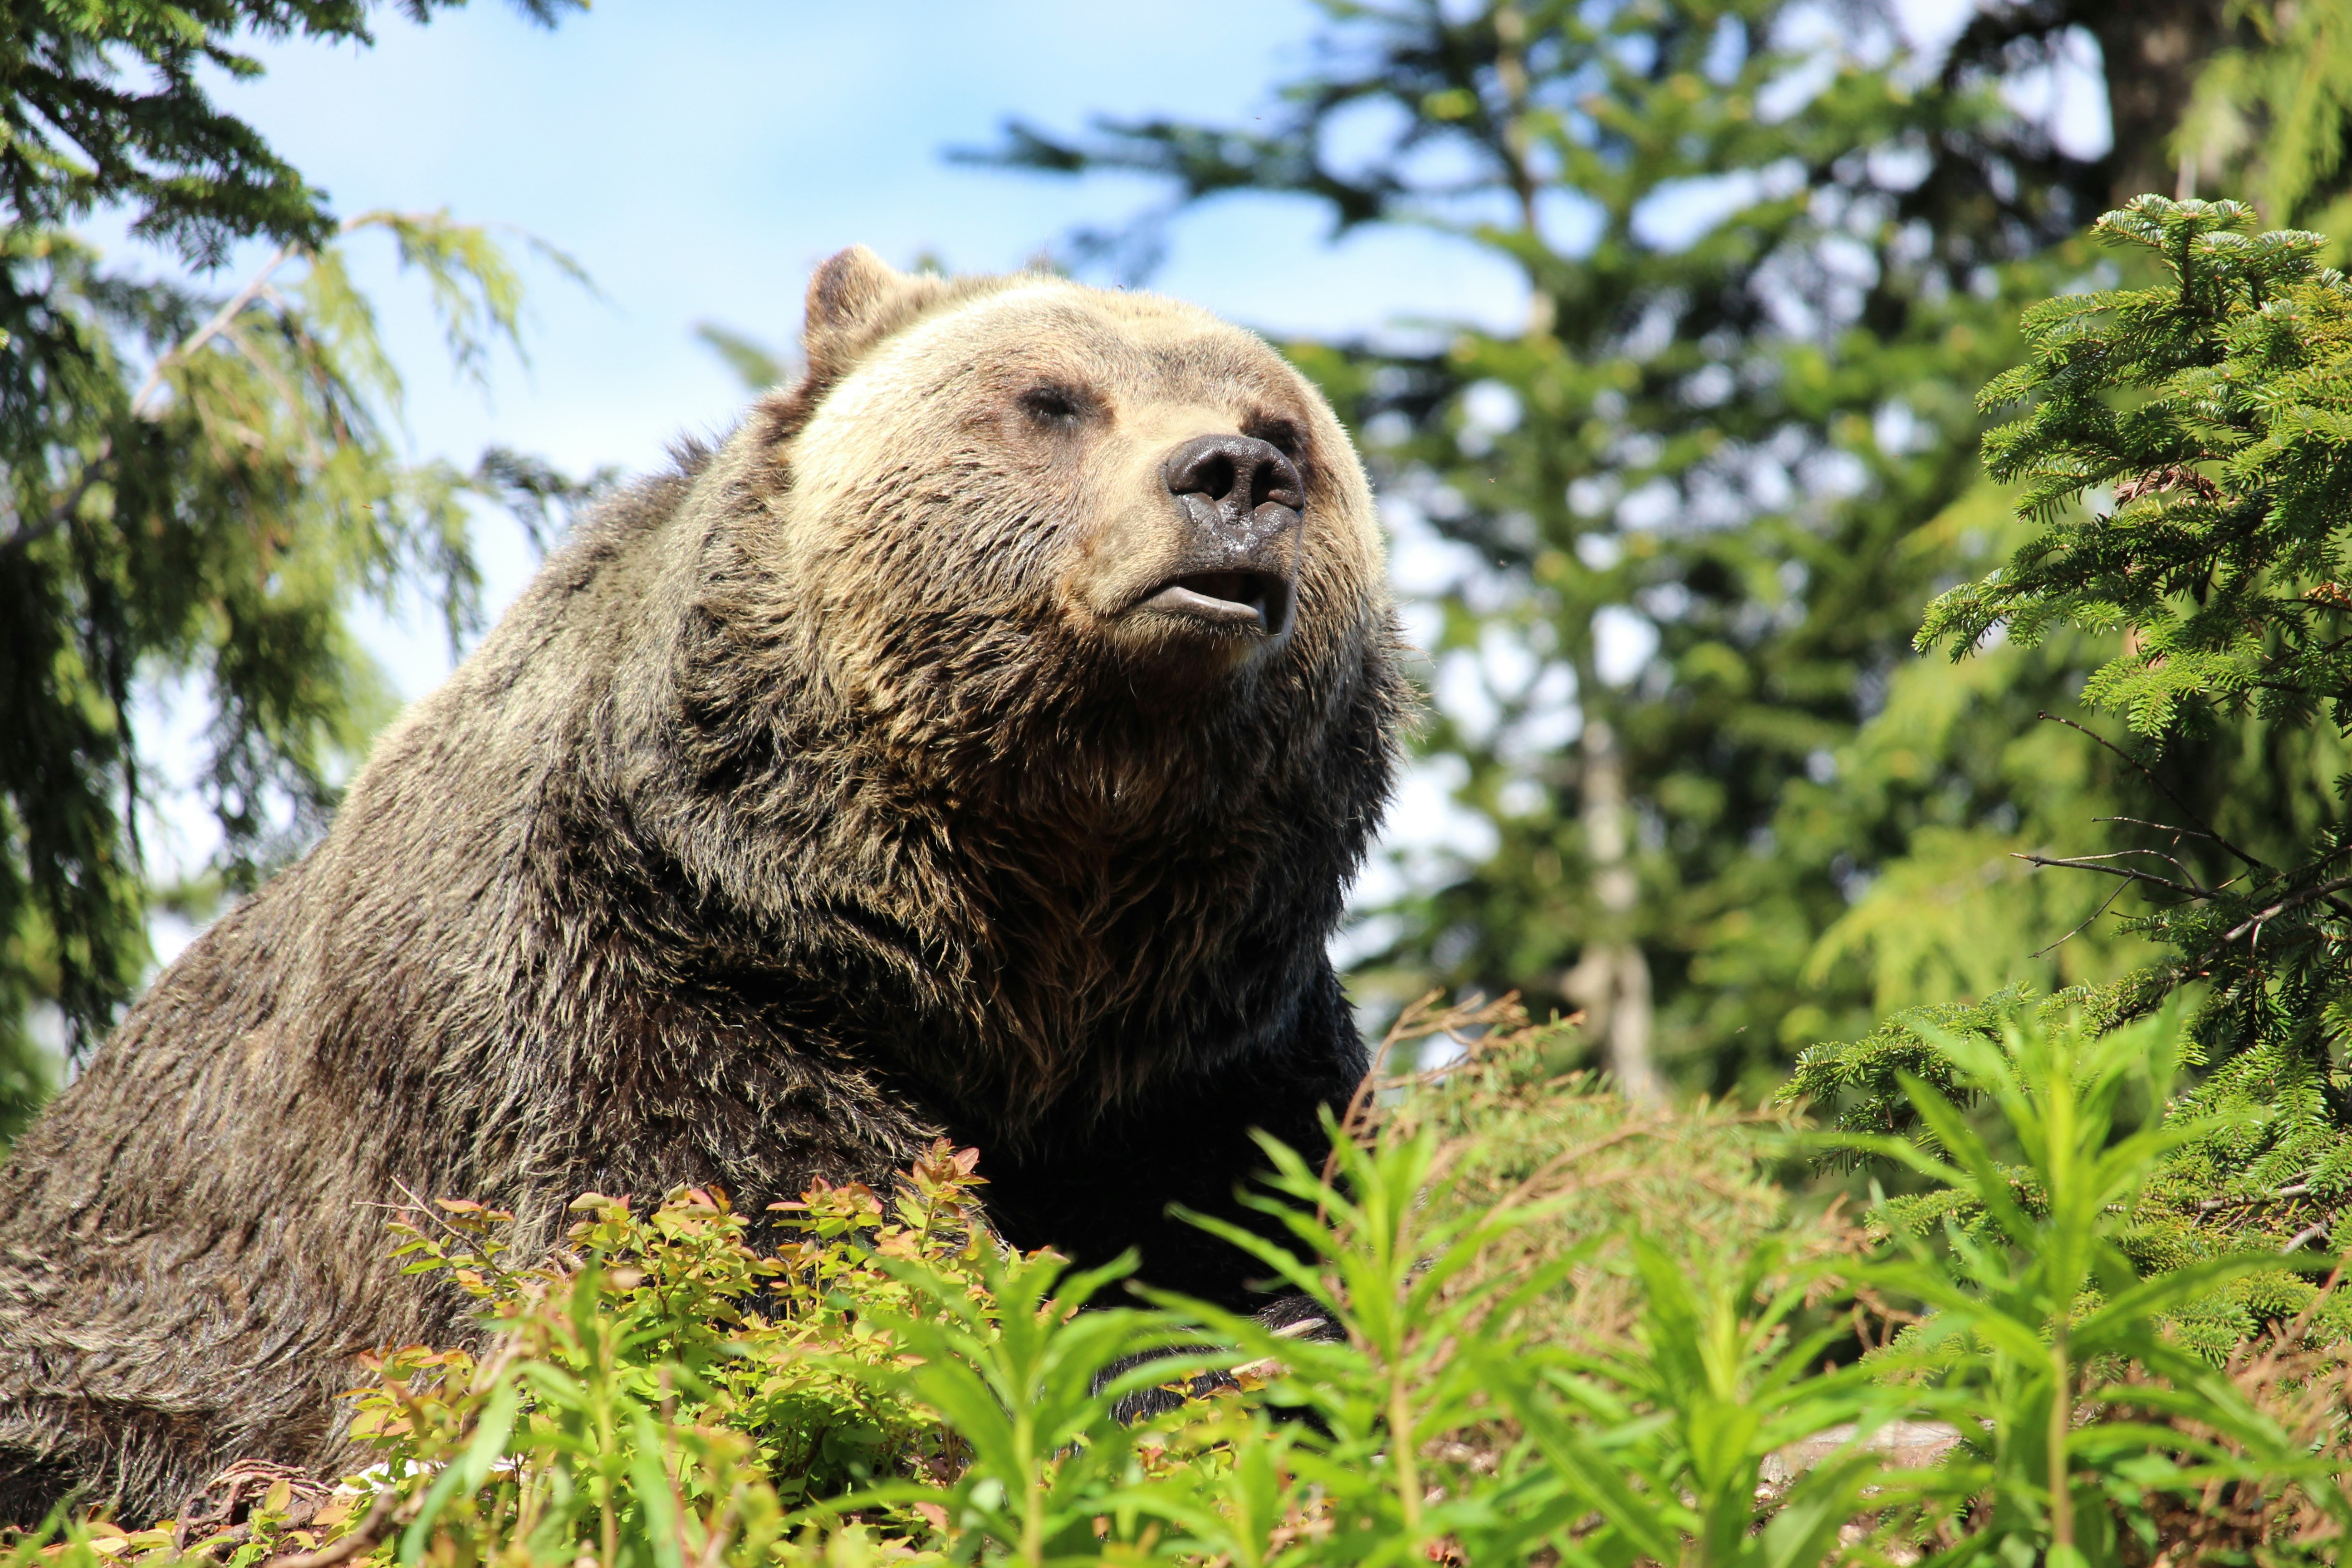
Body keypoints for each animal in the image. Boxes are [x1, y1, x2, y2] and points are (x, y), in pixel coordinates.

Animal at [0, 247, 1409, 1525]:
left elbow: (1279, 1231)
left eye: (1283, 426)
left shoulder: (1206, 1056)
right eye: (1053, 400)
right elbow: (778, 1238)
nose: (1233, 475)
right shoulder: (646, 966)